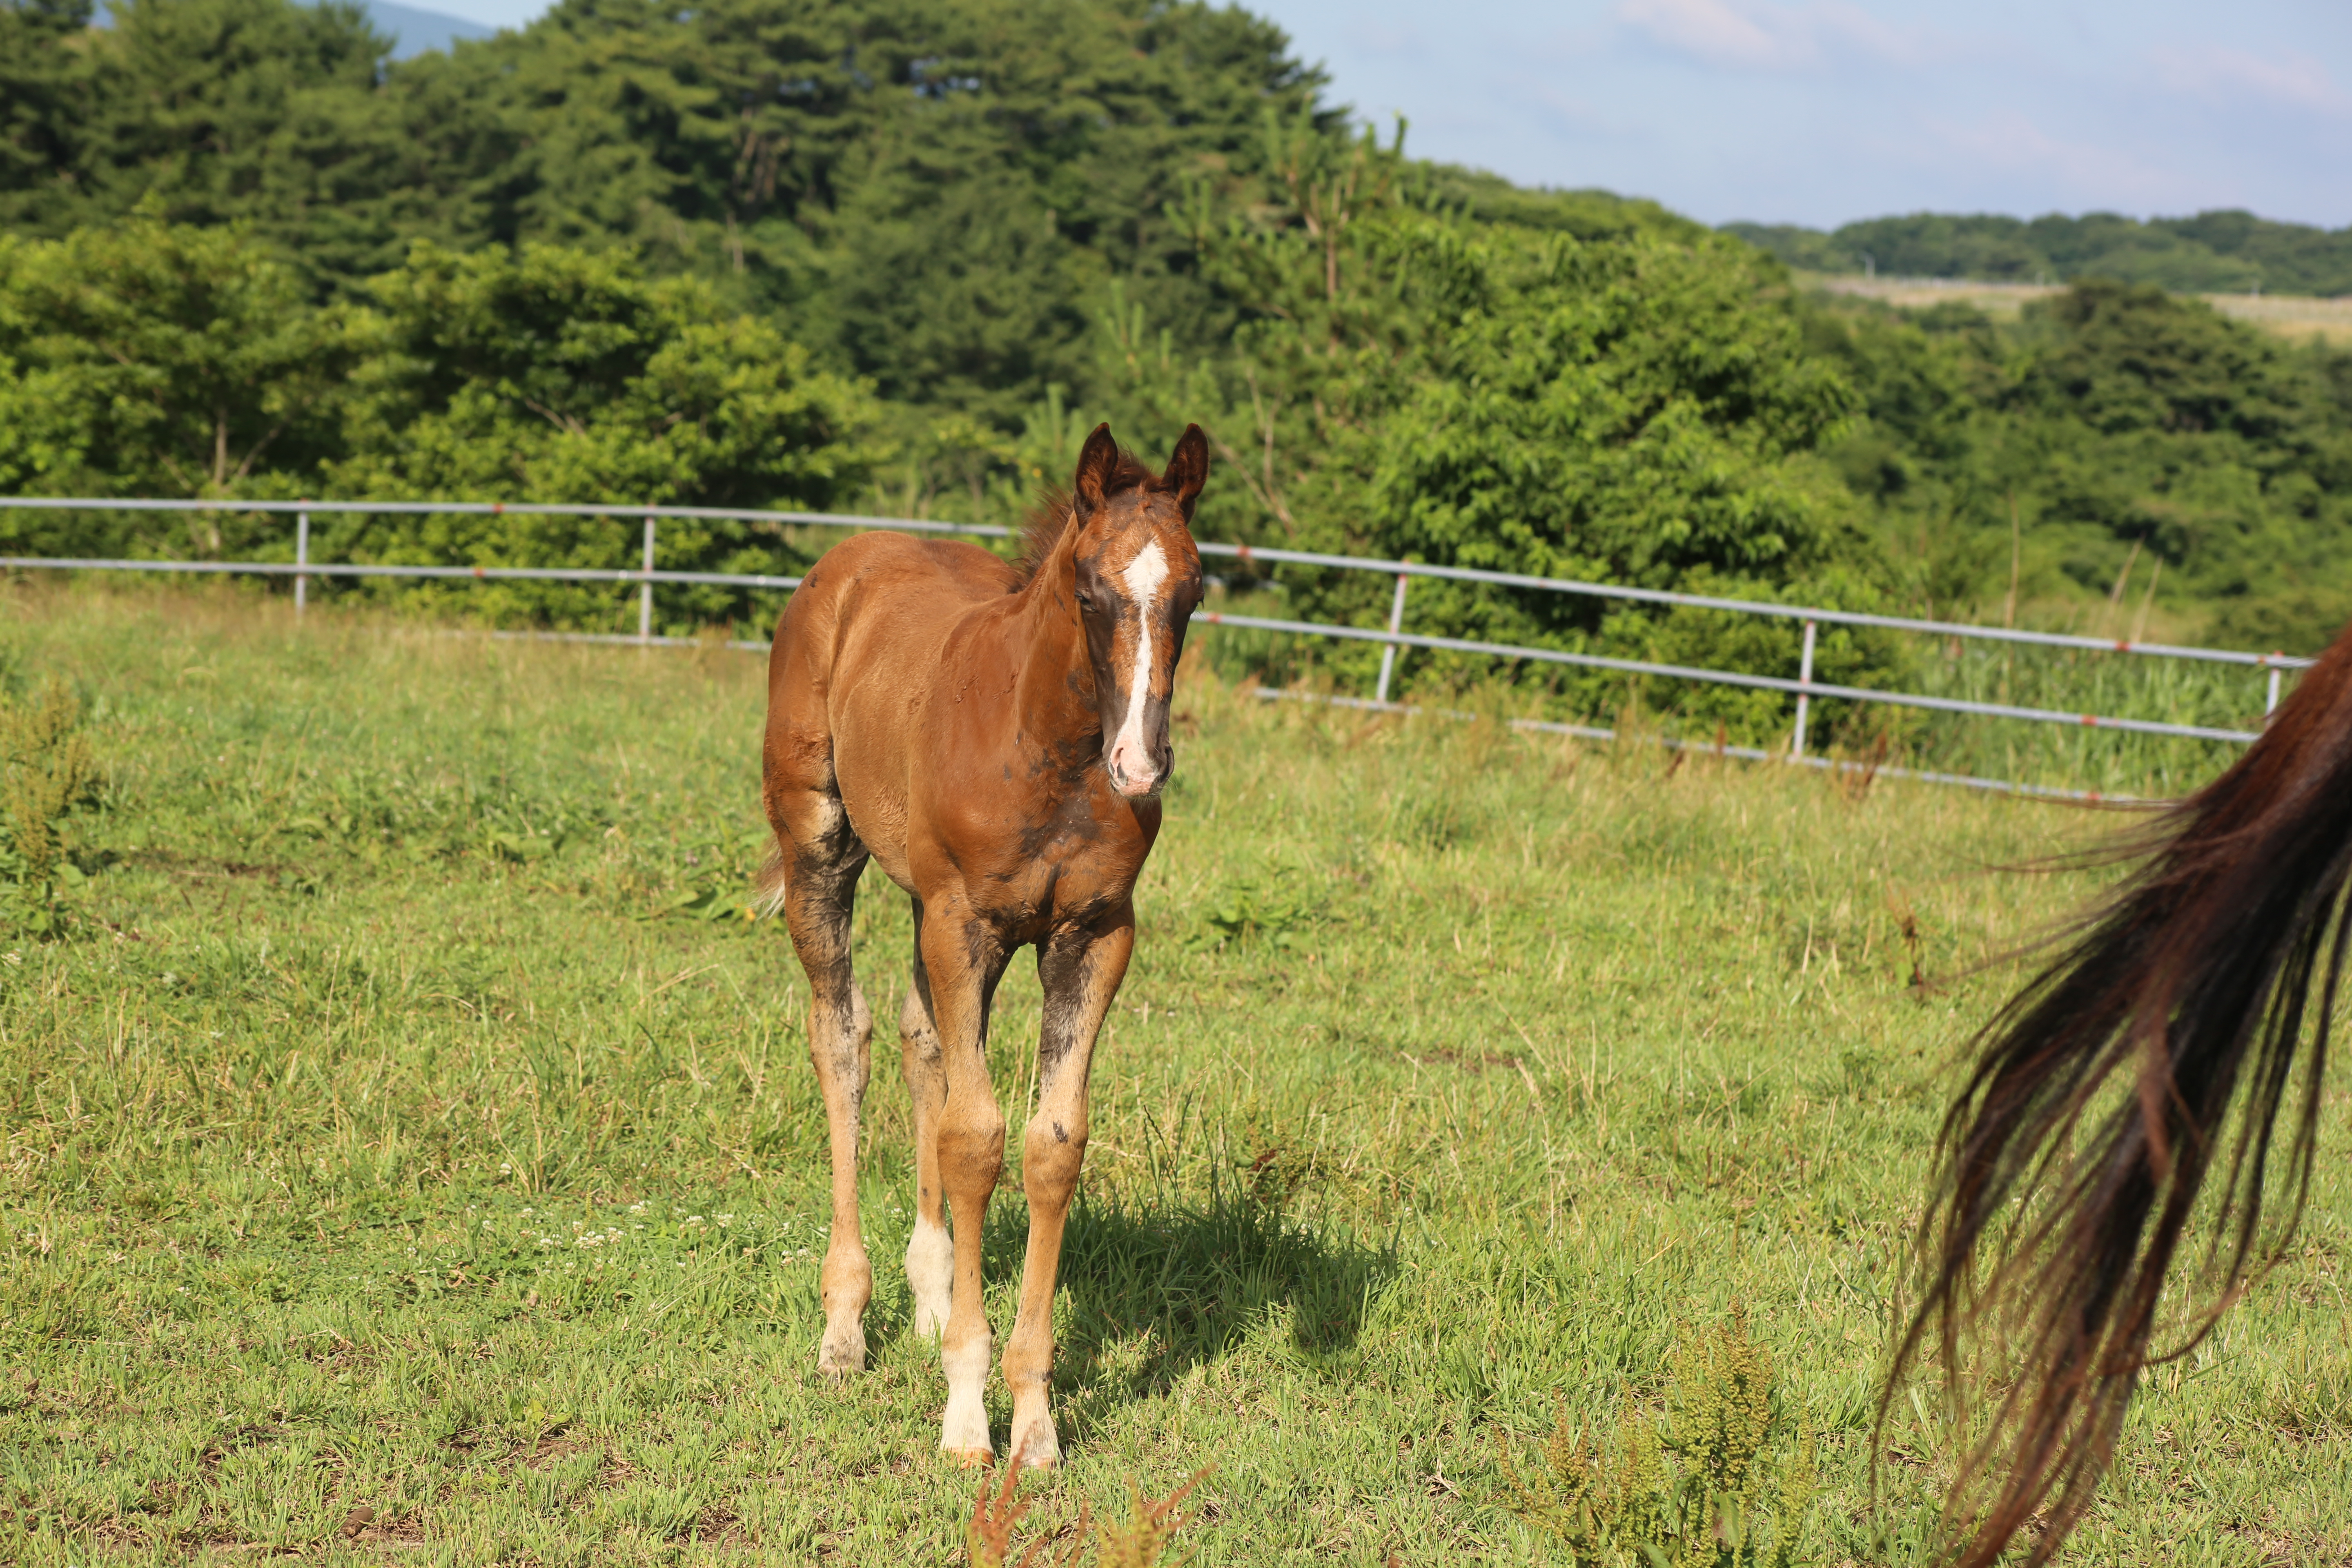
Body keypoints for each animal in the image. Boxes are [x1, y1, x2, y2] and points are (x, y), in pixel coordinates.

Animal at [762, 423, 1214, 1467]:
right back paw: (845, 1328)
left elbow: (1052, 1145)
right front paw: (968, 1415)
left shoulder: (1092, 934)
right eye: (1087, 588)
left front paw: (1035, 1421)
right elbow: (975, 1140)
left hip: (933, 909)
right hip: (821, 844)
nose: (1140, 764)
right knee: (841, 1037)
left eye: (1194, 589)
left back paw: (929, 1295)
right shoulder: (961, 919)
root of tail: (847, 560)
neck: (1045, 746)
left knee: (919, 1035)